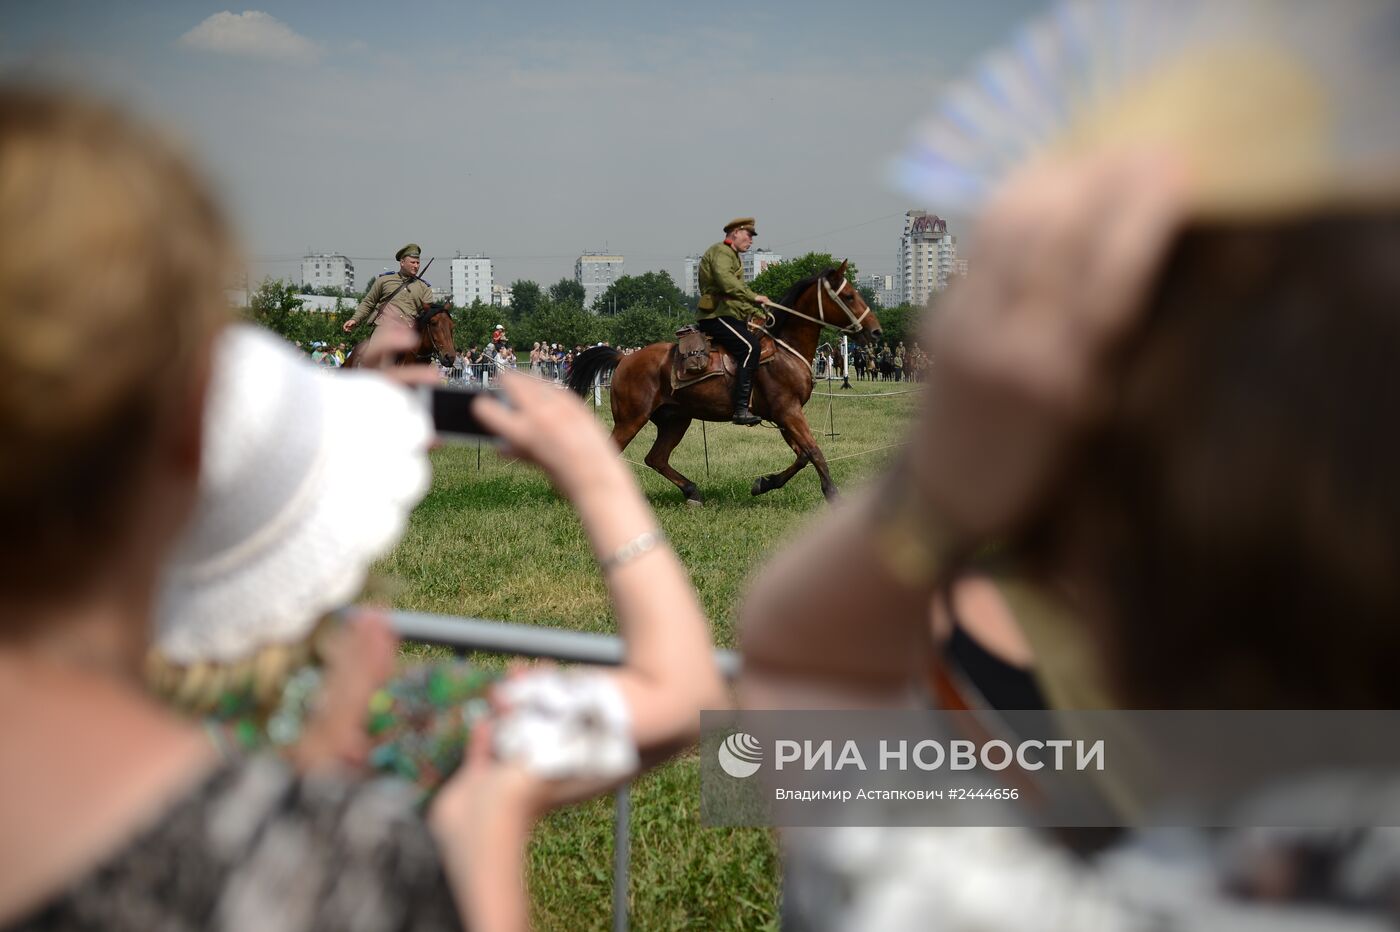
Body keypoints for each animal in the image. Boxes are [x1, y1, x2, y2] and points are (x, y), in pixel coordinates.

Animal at [562, 261, 879, 503]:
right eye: (849, 296)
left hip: (675, 419)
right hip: (631, 420)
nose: (875, 331)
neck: (785, 349)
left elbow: (802, 455)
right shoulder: (789, 412)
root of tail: (624, 359)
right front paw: (832, 493)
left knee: (656, 458)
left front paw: (764, 483)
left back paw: (692, 492)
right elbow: (814, 451)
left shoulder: (784, 416)